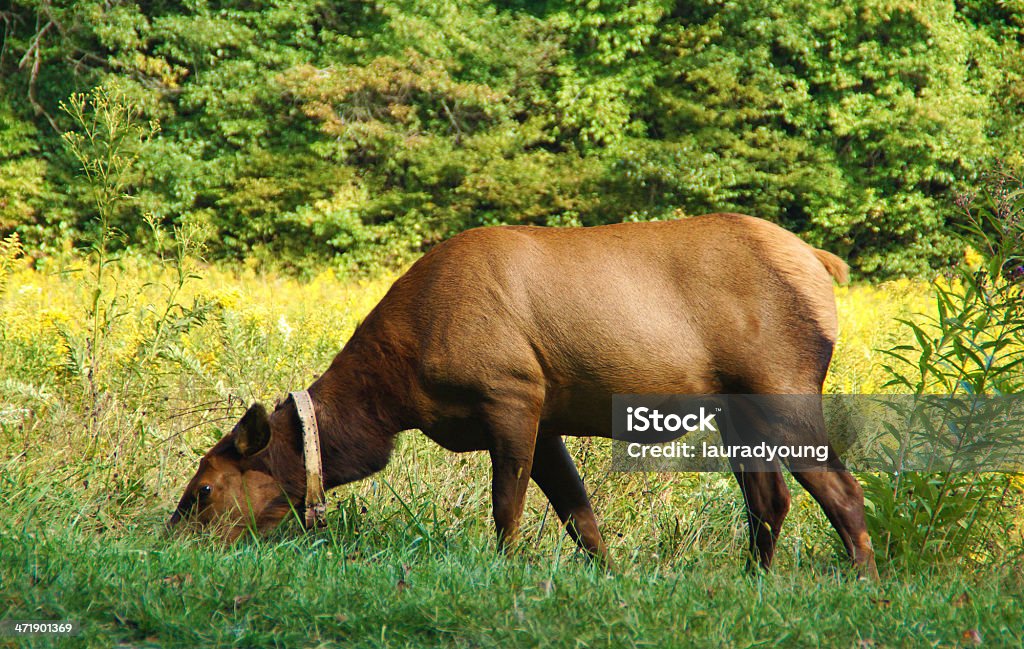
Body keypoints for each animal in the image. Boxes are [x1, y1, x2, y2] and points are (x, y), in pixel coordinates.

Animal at [169, 211, 880, 577]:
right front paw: (606, 577)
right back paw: (755, 579)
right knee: (770, 499)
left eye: (200, 491)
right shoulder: (546, 417)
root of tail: (823, 263)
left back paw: (864, 584)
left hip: (782, 388)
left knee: (843, 489)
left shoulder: (511, 394)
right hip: (738, 411)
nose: (167, 544)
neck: (393, 392)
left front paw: (503, 569)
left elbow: (506, 506)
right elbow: (578, 514)